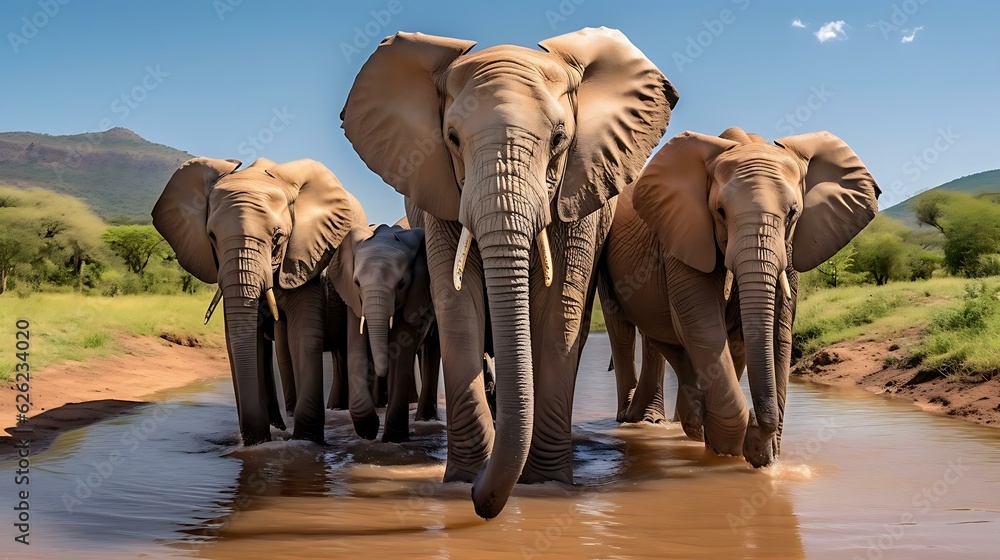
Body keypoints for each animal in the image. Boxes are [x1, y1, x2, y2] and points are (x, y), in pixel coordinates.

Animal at [152, 157, 367, 444]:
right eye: (212, 237)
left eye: (277, 238)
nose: (255, 439)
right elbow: (242, 338)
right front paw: (260, 443)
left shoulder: (306, 258)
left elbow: (302, 333)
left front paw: (306, 441)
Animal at [325, 223, 440, 443]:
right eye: (357, 283)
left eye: (401, 284)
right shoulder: (353, 298)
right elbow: (357, 347)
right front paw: (368, 429)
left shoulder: (415, 293)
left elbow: (401, 352)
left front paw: (393, 438)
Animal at [341, 27, 676, 518]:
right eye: (452, 137)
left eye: (559, 138)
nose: (480, 502)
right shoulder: (439, 193)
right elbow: (457, 306)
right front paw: (464, 479)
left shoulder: (580, 187)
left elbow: (561, 314)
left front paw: (546, 484)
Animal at [599, 127, 879, 467]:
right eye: (720, 212)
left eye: (793, 213)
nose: (759, 430)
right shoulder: (684, 233)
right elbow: (701, 323)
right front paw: (732, 448)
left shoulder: (791, 246)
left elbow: (778, 332)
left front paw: (762, 456)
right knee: (625, 330)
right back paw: (642, 420)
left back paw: (684, 424)